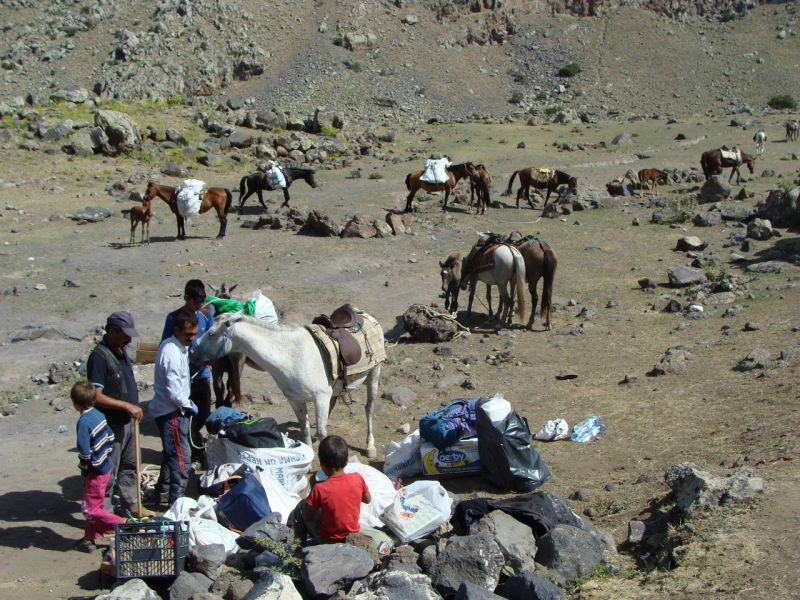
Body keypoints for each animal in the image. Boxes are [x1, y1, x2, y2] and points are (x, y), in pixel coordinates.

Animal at [191, 312, 384, 458]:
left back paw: (370, 446)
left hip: (373, 375)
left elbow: (323, 432)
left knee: (369, 408)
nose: (193, 353)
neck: (291, 357)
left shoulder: (320, 398)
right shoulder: (295, 400)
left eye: (211, 333)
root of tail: (366, 316)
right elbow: (304, 428)